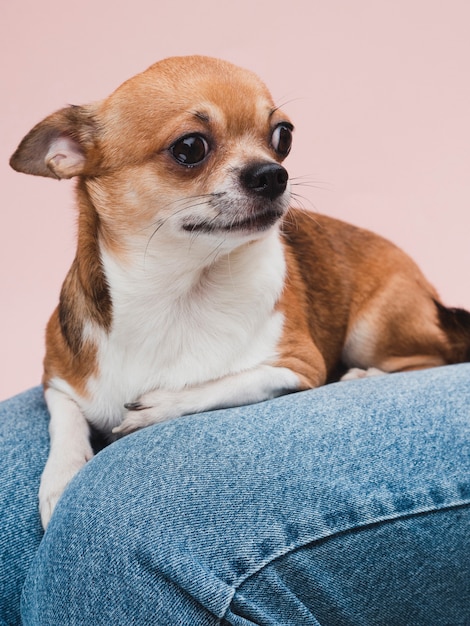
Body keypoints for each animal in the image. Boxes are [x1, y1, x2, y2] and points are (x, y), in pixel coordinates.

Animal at [10, 57, 470, 528]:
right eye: (190, 147)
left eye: (283, 136)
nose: (273, 173)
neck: (177, 293)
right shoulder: (57, 378)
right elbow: (64, 419)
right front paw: (61, 478)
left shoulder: (299, 366)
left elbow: (224, 382)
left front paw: (162, 404)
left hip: (373, 328)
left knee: (432, 357)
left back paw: (366, 375)